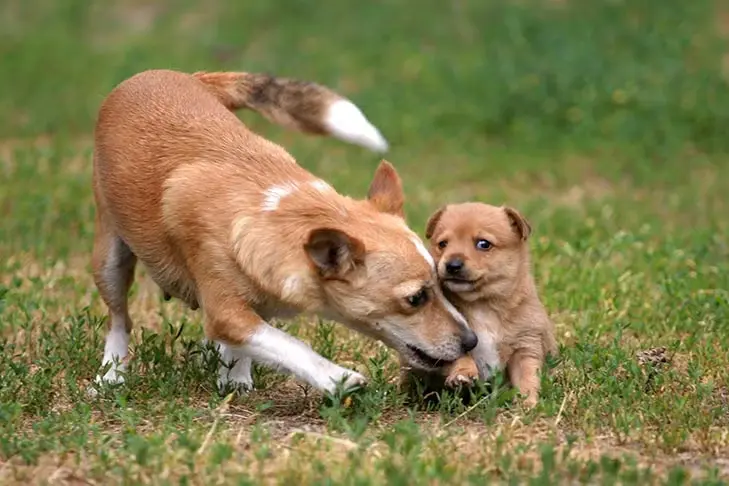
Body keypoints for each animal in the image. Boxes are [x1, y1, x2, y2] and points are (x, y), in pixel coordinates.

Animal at [91, 68, 480, 396]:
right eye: (415, 299)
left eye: (442, 285)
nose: (471, 342)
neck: (279, 214)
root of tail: (182, 74)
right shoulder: (226, 310)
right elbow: (289, 345)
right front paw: (337, 378)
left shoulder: (256, 304)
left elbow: (253, 344)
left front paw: (234, 377)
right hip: (109, 258)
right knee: (119, 320)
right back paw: (112, 374)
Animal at [420, 201, 556, 406]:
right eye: (442, 244)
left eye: (483, 244)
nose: (452, 265)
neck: (482, 304)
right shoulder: (450, 335)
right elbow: (460, 355)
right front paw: (462, 374)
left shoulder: (525, 345)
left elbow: (527, 377)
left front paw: (528, 403)